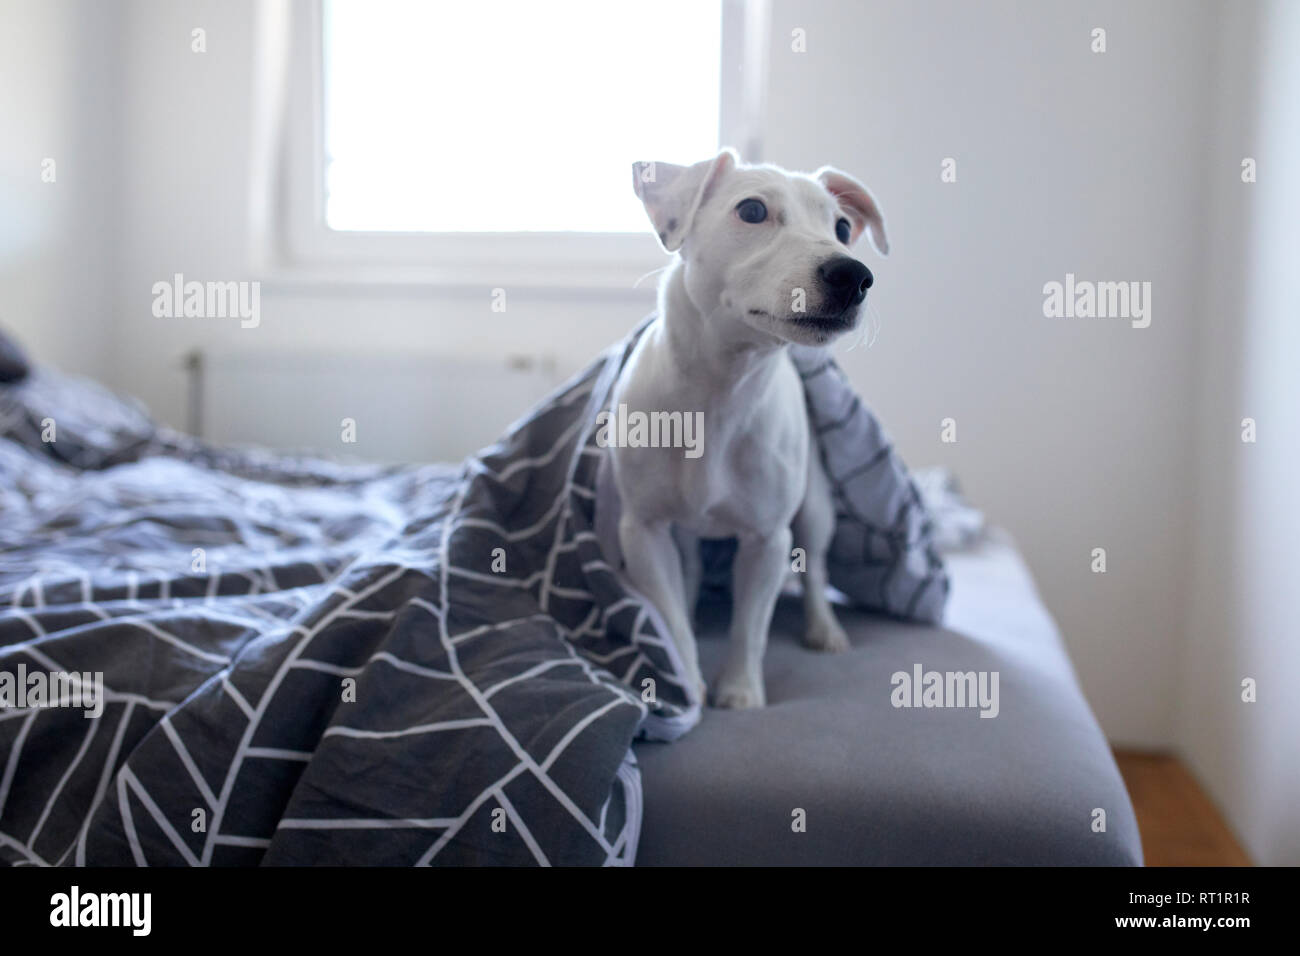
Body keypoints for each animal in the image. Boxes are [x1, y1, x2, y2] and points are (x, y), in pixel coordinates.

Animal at [605, 145, 883, 707]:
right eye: (752, 210)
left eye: (843, 227)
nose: (853, 274)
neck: (721, 393)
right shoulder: (643, 530)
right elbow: (670, 613)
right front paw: (687, 683)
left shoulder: (767, 540)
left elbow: (749, 626)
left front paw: (738, 690)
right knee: (690, 566)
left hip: (815, 507)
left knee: (816, 570)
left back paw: (824, 628)